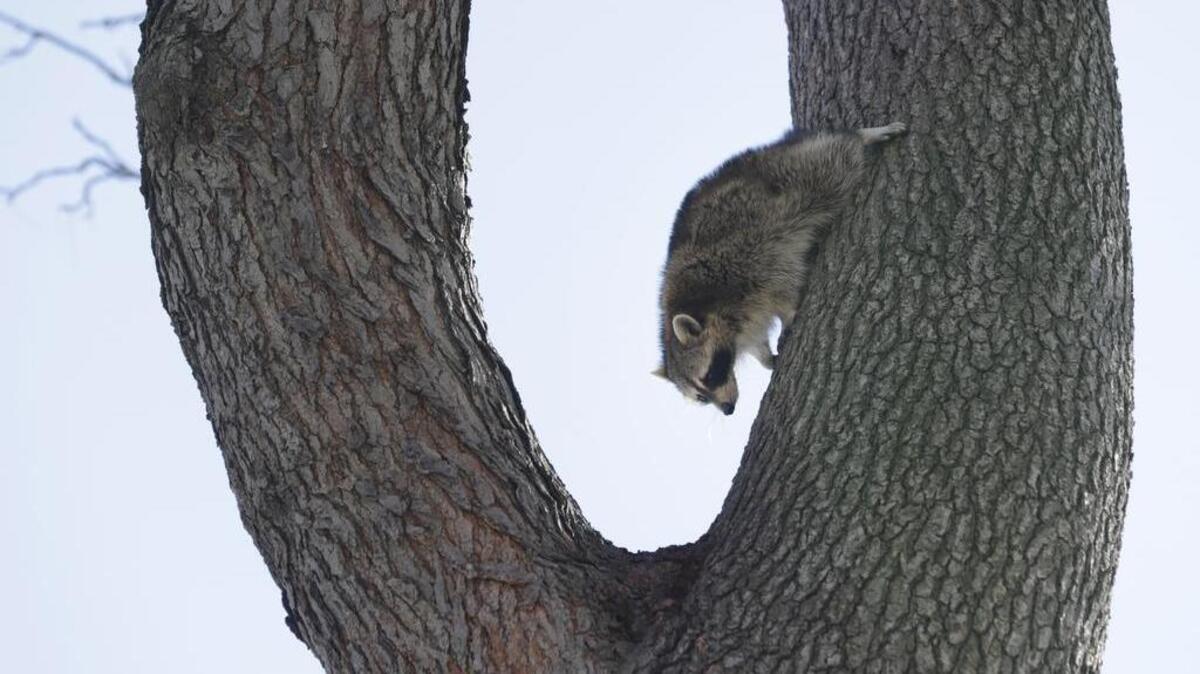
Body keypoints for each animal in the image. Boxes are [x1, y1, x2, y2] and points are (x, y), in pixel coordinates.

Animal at [654, 122, 907, 414]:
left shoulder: (744, 263)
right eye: (700, 397)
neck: (697, 304)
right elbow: (756, 337)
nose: (728, 410)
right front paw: (765, 357)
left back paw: (859, 137)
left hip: (788, 182)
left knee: (831, 164)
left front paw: (788, 312)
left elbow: (781, 285)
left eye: (709, 376)